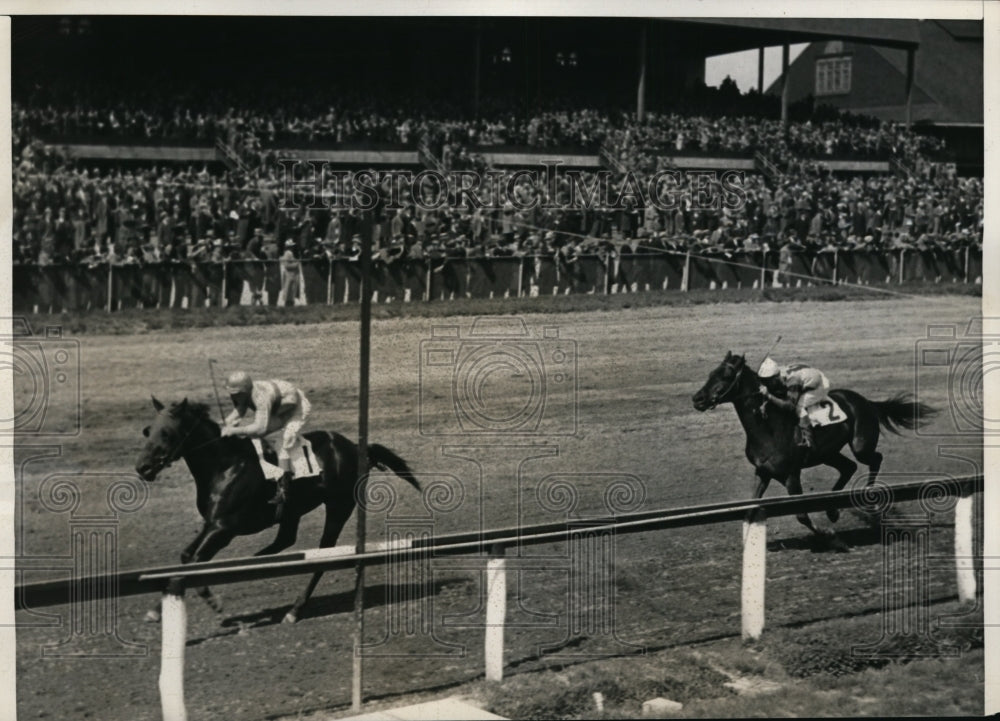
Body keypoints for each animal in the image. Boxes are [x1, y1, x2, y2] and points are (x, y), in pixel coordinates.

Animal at [135, 396, 420, 620]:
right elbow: (186, 557)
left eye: (167, 433)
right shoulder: (211, 523)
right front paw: (162, 606)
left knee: (323, 552)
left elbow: (193, 563)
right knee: (284, 540)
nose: (142, 467)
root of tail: (357, 447)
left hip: (338, 508)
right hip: (293, 511)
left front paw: (208, 602)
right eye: (147, 431)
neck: (224, 465)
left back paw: (295, 609)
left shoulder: (224, 529)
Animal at [696, 350, 936, 540]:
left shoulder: (791, 475)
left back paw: (868, 493)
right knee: (849, 467)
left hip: (860, 446)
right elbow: (750, 509)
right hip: (828, 453)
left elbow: (802, 514)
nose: (696, 399)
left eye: (726, 376)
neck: (768, 427)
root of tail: (866, 401)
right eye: (710, 374)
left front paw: (826, 534)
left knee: (875, 458)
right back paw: (832, 510)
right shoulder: (762, 472)